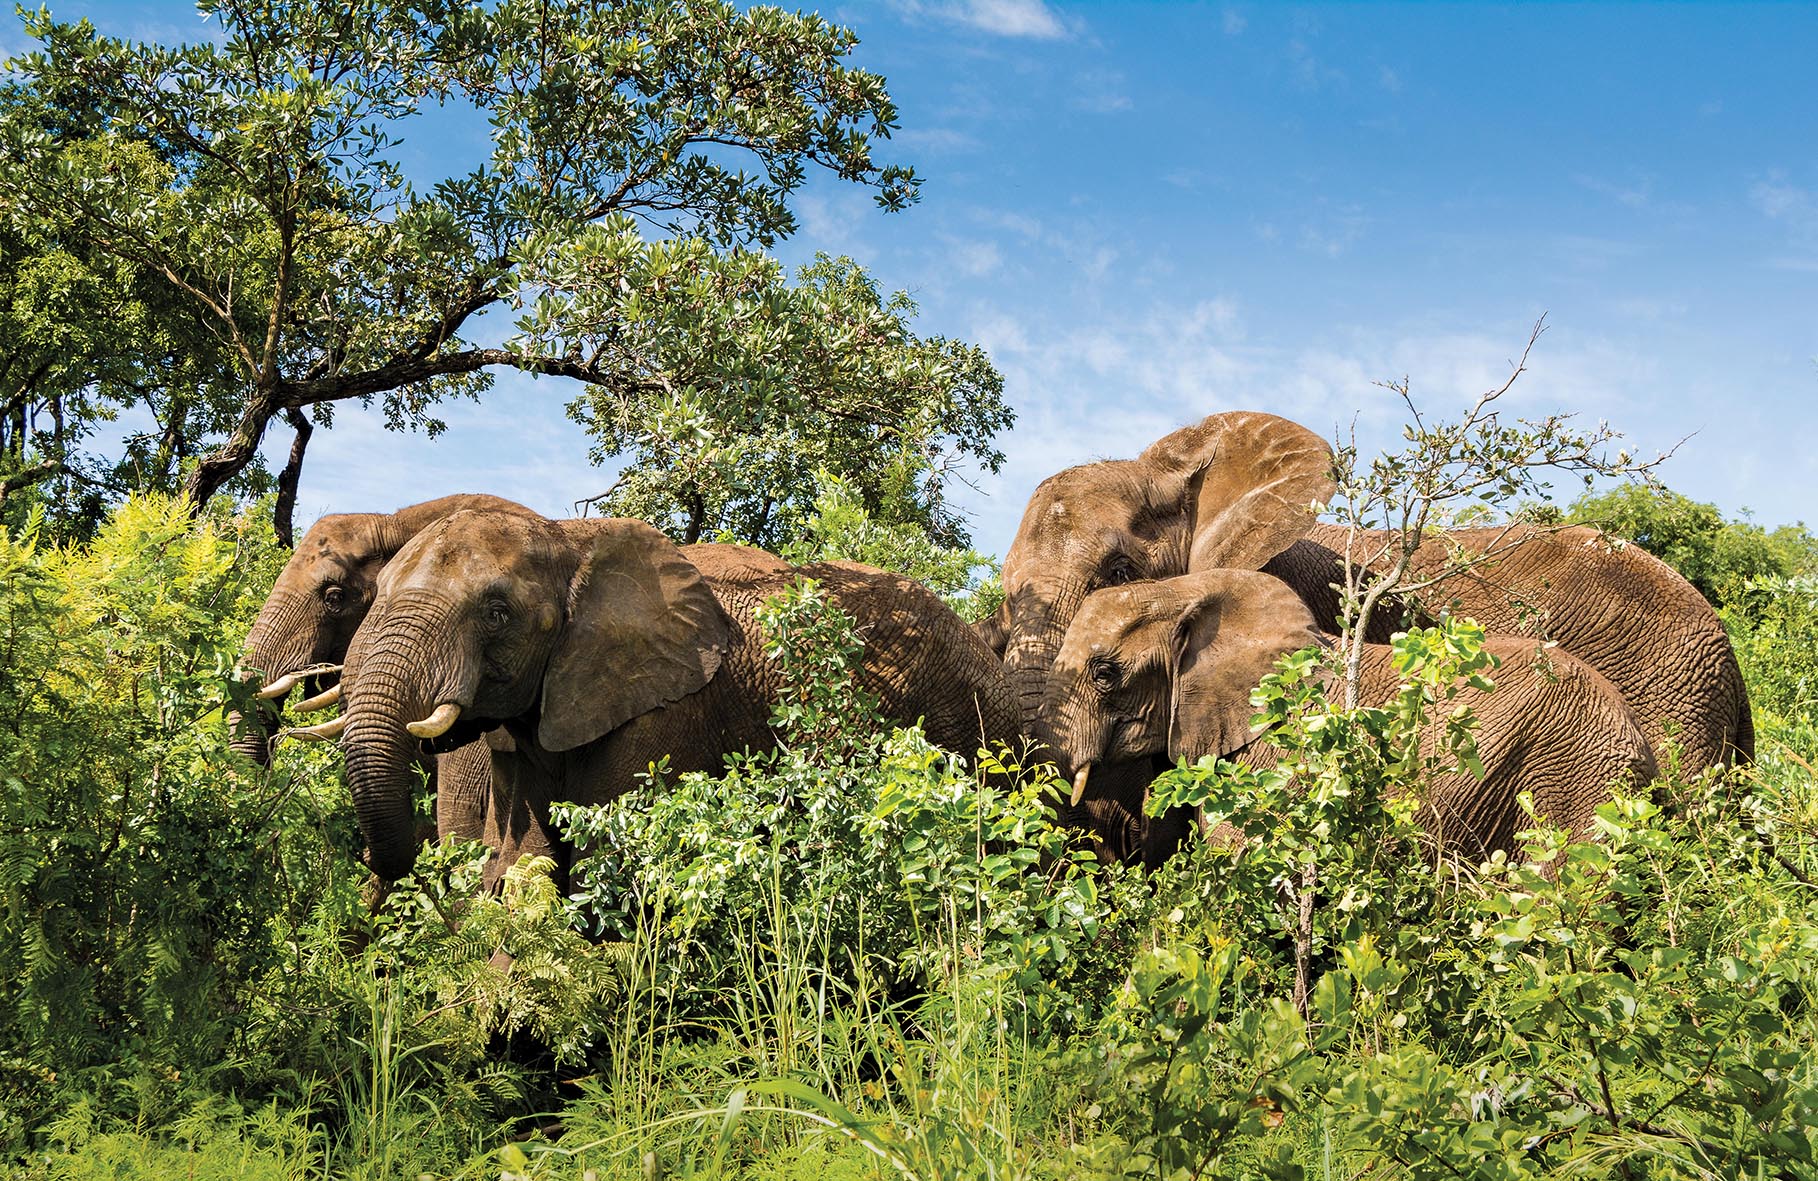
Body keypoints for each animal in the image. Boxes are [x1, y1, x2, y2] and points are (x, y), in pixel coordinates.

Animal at [331, 510, 1022, 887]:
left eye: (497, 613)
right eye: (378, 592)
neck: (571, 541)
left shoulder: (664, 715)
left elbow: (609, 861)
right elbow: (530, 858)